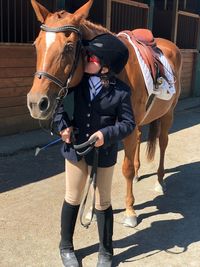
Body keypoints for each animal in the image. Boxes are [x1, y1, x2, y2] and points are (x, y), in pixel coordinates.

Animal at [27, 0, 182, 228]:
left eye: (69, 47)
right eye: (36, 44)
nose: (36, 103)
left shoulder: (124, 127)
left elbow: (125, 169)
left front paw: (130, 211)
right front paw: (89, 213)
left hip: (167, 114)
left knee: (163, 143)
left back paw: (159, 181)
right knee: (139, 139)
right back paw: (139, 174)